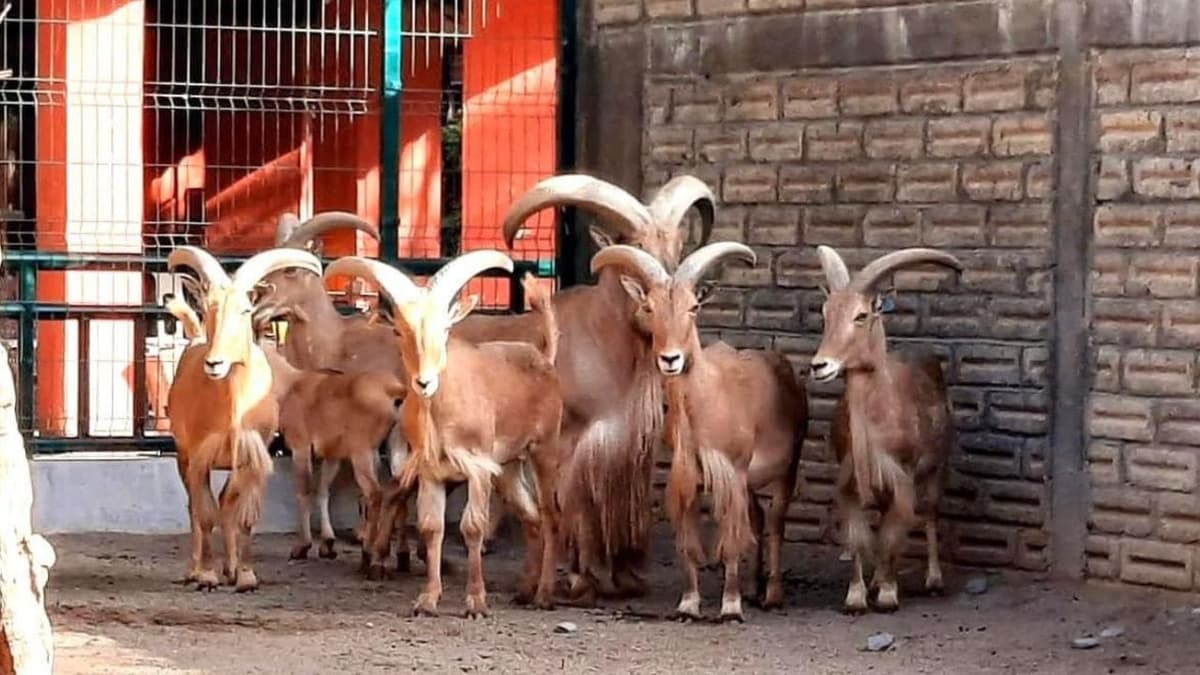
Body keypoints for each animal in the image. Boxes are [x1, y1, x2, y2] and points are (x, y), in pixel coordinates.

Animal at [165, 245, 322, 591]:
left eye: (245, 310)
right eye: (208, 308)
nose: (215, 363)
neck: (234, 406)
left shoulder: (253, 455)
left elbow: (244, 515)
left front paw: (246, 575)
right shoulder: (199, 456)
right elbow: (205, 513)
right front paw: (207, 575)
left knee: (227, 504)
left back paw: (232, 568)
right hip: (182, 454)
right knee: (194, 508)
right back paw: (196, 569)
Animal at [325, 253, 562, 618]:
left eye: (445, 328)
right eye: (399, 330)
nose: (424, 382)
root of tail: (543, 359)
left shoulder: (478, 468)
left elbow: (472, 527)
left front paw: (476, 603)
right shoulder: (430, 472)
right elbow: (431, 527)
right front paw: (427, 600)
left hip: (544, 451)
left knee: (551, 517)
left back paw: (544, 596)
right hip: (508, 467)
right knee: (532, 517)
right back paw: (524, 591)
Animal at [592, 242, 807, 622]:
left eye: (693, 307)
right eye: (649, 307)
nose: (671, 359)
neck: (706, 403)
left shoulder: (733, 472)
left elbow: (731, 541)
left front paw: (731, 607)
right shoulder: (687, 476)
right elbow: (689, 544)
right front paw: (689, 605)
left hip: (787, 467)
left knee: (776, 522)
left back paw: (772, 594)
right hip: (751, 482)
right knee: (757, 517)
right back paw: (753, 588)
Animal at [809, 245, 961, 613]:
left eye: (861, 316)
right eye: (825, 313)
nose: (820, 365)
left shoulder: (901, 477)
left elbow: (893, 535)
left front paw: (889, 594)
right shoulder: (850, 480)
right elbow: (859, 537)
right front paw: (856, 597)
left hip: (937, 467)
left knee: (930, 513)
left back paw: (933, 580)